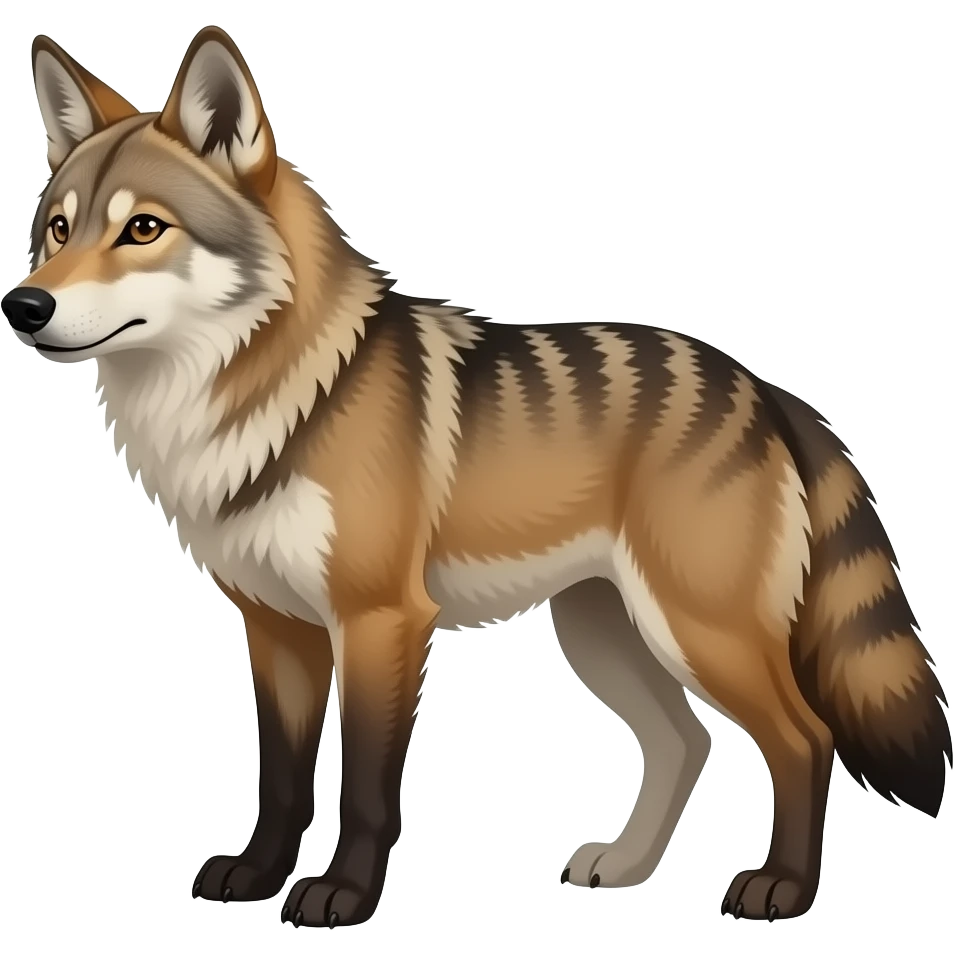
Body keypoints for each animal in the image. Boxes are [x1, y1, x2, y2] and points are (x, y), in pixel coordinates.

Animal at [4, 26, 950, 929]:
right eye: (58, 229)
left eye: (143, 229)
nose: (24, 305)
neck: (281, 395)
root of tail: (765, 390)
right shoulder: (276, 629)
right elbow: (281, 778)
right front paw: (258, 876)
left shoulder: (379, 621)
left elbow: (367, 787)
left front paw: (342, 896)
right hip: (604, 634)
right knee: (686, 743)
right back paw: (624, 867)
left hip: (698, 631)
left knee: (803, 739)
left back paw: (781, 888)